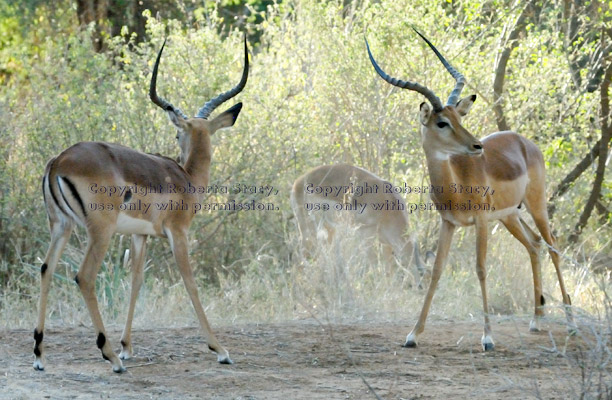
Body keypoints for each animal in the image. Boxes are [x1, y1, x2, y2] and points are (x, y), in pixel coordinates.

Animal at [32, 36, 249, 372]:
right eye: (177, 134)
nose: (178, 148)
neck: (186, 177)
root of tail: (58, 161)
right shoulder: (178, 232)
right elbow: (190, 282)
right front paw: (220, 349)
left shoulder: (139, 235)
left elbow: (136, 281)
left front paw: (127, 347)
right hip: (100, 231)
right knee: (84, 276)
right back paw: (109, 357)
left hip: (61, 226)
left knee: (46, 269)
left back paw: (41, 356)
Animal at [368, 30, 572, 350]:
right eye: (442, 122)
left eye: (459, 118)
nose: (477, 146)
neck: (456, 186)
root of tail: (526, 142)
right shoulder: (449, 223)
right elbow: (437, 271)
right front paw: (413, 334)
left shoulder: (480, 221)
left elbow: (480, 268)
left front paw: (487, 337)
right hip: (510, 216)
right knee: (535, 244)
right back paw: (536, 320)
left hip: (536, 206)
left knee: (553, 247)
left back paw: (571, 321)